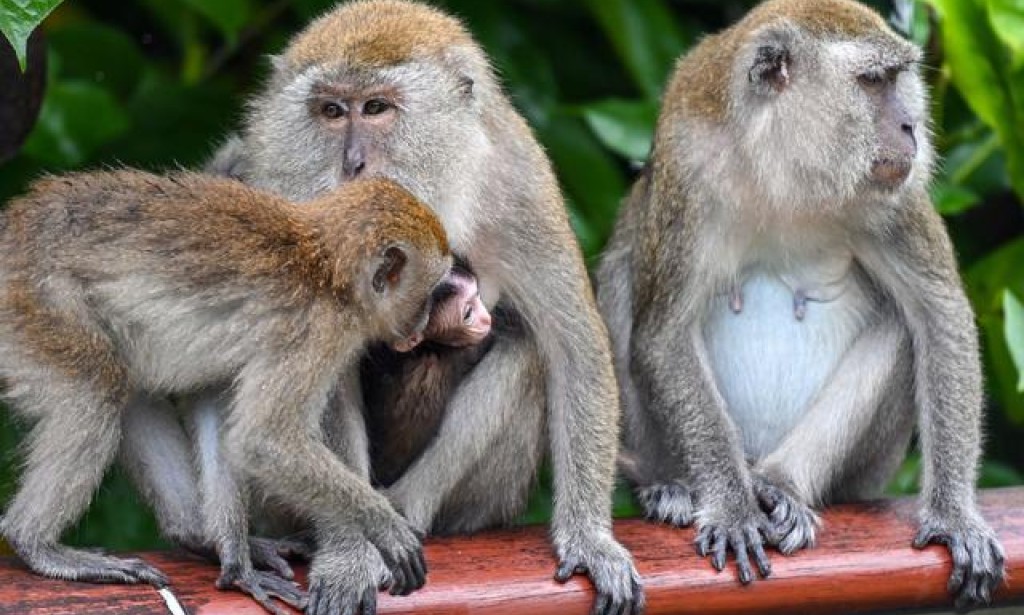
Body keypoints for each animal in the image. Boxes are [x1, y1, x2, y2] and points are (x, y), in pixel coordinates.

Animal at [0, 170, 448, 614]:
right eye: (428, 292)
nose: (422, 324)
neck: (327, 267)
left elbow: (218, 403)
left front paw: (236, 561)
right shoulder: (317, 332)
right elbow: (264, 441)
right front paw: (385, 525)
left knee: (127, 385)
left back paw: (196, 535)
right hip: (34, 306)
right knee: (96, 387)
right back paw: (33, 542)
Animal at [180, 2, 645, 614]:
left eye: (377, 108)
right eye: (332, 111)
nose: (353, 164)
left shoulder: (520, 187)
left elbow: (575, 348)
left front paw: (591, 539)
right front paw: (350, 552)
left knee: (525, 349)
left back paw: (406, 509)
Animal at [595, 0, 1005, 607]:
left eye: (897, 79)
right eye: (872, 82)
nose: (910, 127)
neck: (784, 167)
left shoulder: (895, 192)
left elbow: (939, 316)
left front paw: (954, 516)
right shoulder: (689, 175)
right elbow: (663, 332)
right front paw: (733, 508)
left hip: (867, 472)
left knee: (901, 325)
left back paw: (779, 485)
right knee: (622, 275)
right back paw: (670, 484)